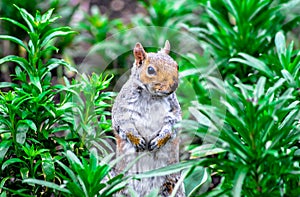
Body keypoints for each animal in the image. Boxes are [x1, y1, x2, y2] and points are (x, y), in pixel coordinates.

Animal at [111, 40, 184, 196]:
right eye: (150, 70)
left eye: (177, 66)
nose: (173, 86)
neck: (152, 96)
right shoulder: (122, 110)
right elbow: (123, 124)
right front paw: (136, 140)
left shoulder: (173, 110)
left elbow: (173, 124)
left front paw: (160, 140)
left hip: (173, 184)